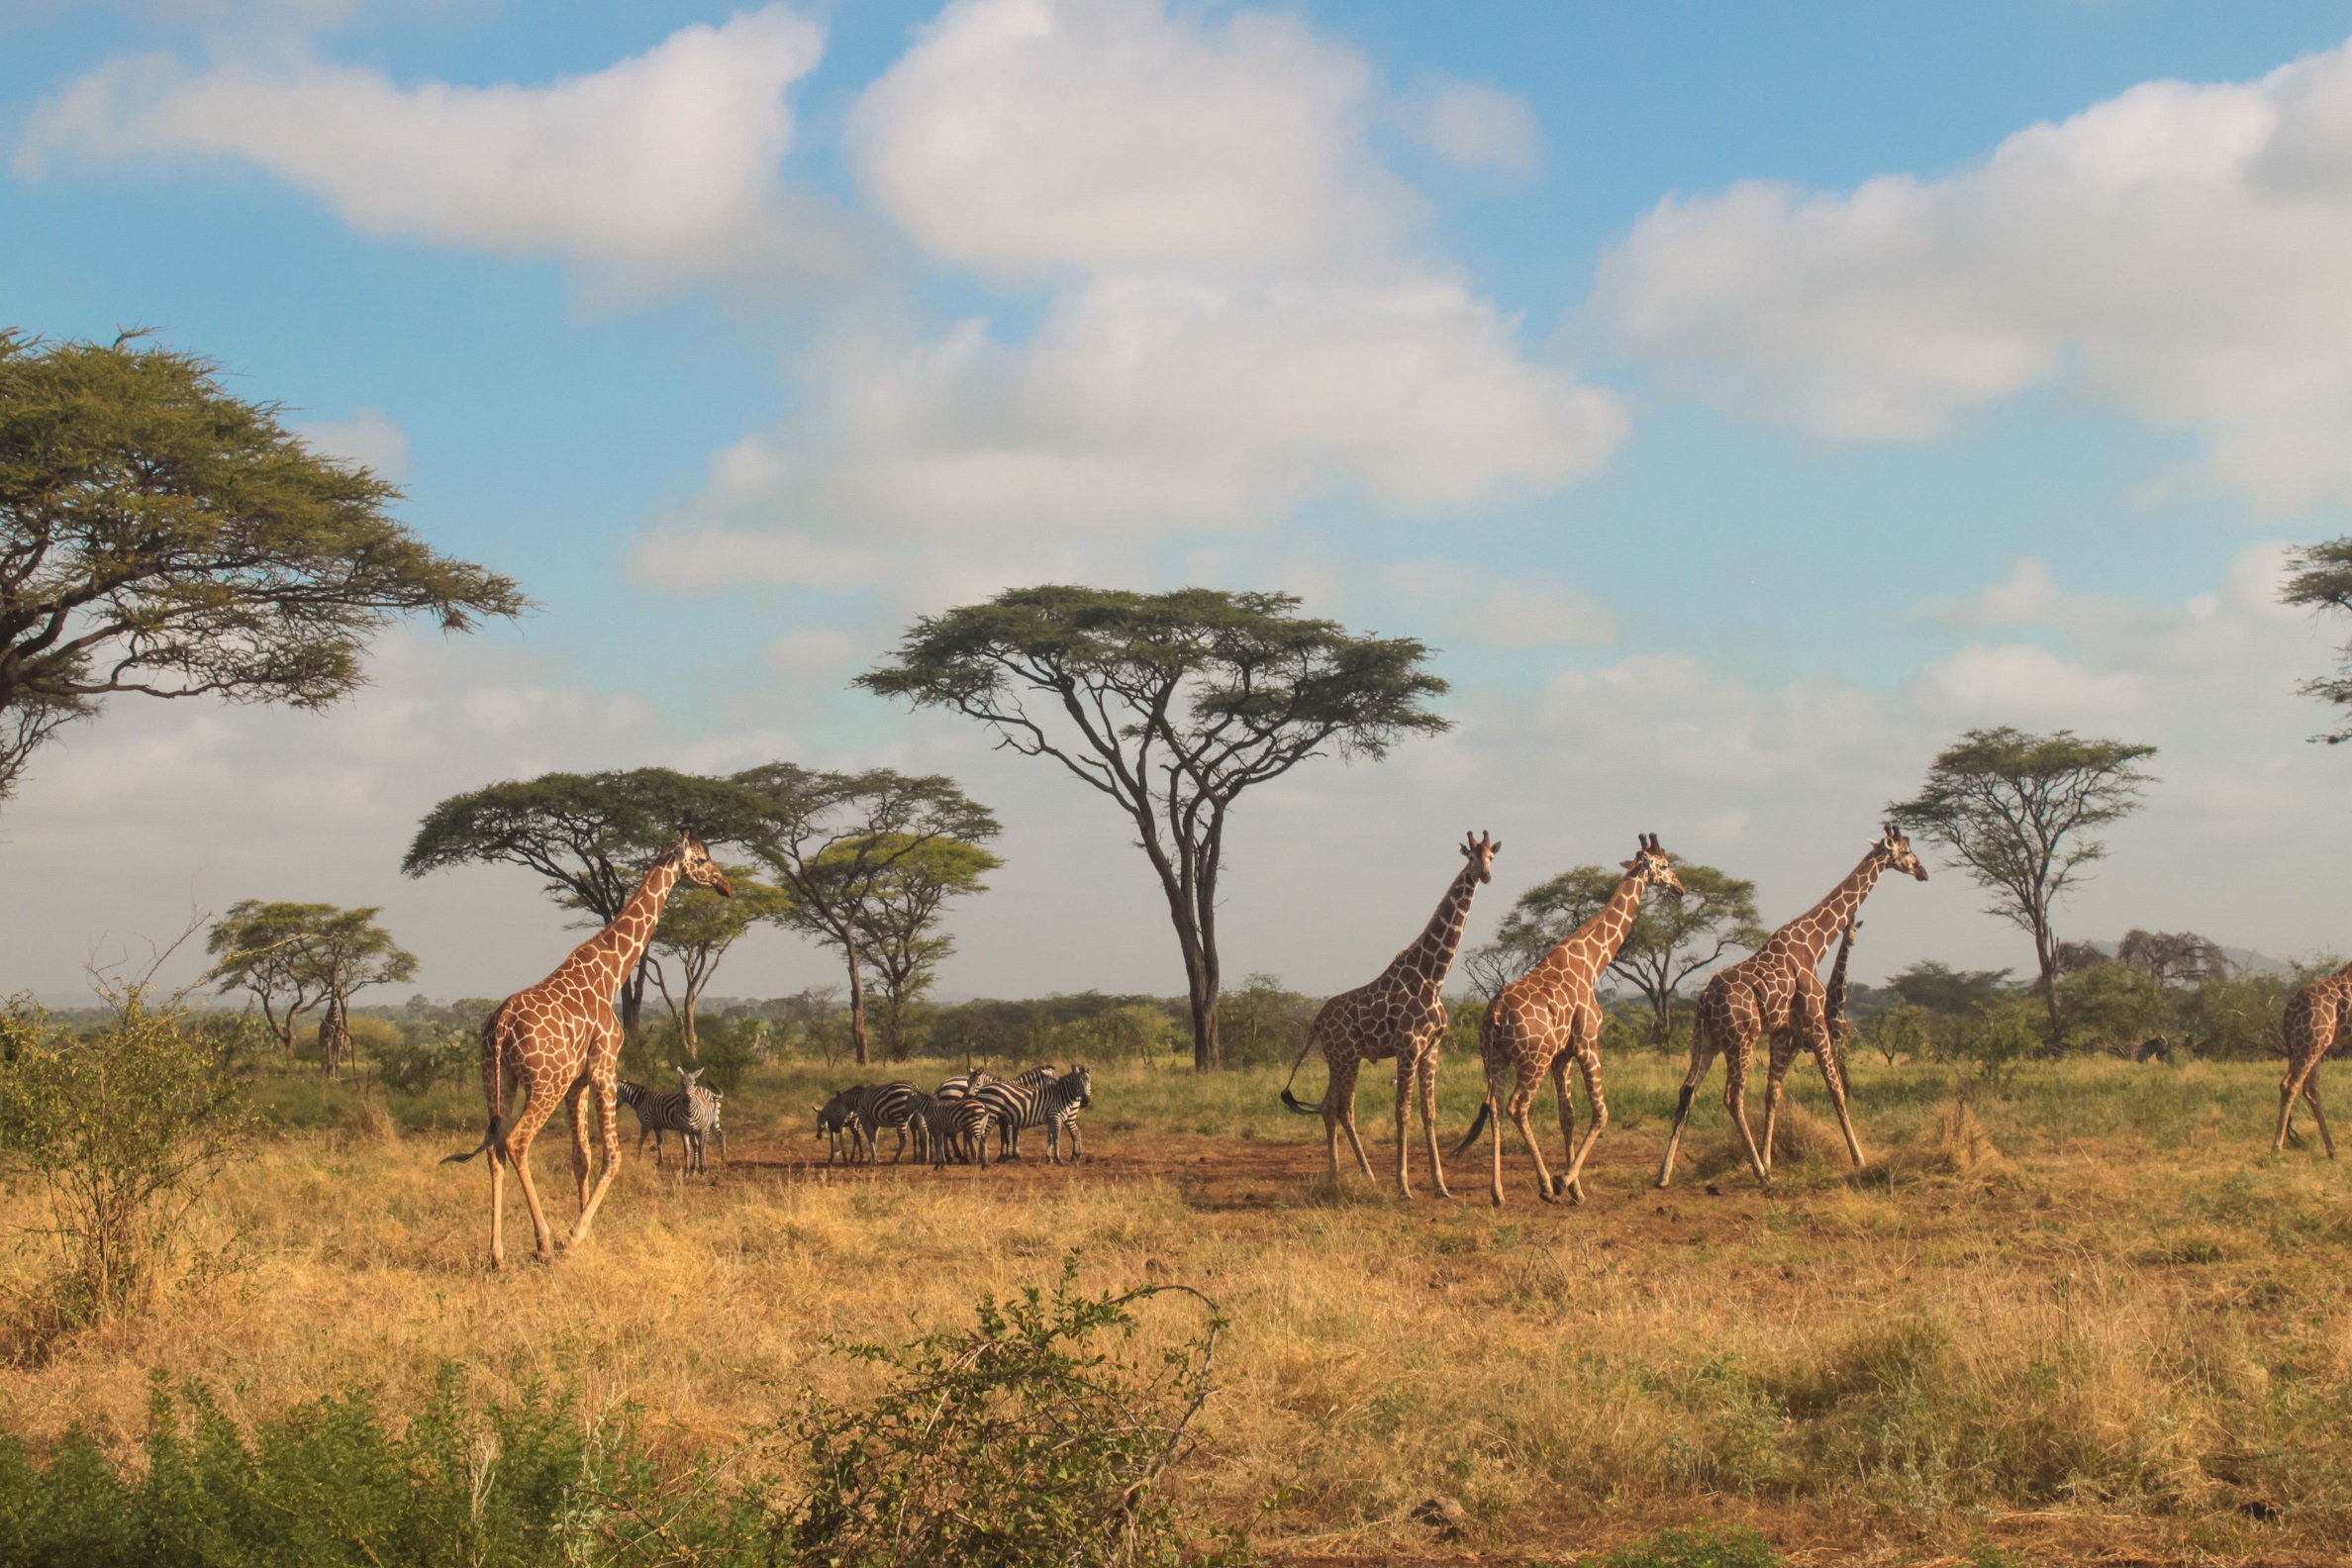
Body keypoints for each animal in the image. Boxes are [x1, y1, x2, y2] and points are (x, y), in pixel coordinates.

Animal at [444, 828, 733, 1267]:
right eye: (701, 860)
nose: (726, 886)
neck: (611, 971)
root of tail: (501, 1026)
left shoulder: (577, 1083)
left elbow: (581, 1157)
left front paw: (584, 1231)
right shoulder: (604, 1067)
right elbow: (613, 1155)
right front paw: (574, 1236)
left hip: (496, 1079)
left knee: (495, 1148)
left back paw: (497, 1253)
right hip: (544, 1082)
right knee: (517, 1142)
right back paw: (544, 1241)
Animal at [1279, 831, 1499, 1199]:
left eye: (1491, 858)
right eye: (1470, 857)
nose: (1485, 875)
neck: (1434, 977)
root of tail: (1318, 1022)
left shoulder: (1431, 1049)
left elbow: (1429, 1113)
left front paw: (1441, 1185)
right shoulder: (1408, 1047)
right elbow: (1403, 1112)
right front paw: (1404, 1185)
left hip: (1339, 1058)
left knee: (1330, 1105)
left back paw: (1346, 1175)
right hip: (1346, 1056)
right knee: (1340, 1107)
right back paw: (1355, 1175)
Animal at [1454, 833, 1684, 1207]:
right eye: (1664, 865)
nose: (1680, 887)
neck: (1592, 960)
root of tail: (1496, 1016)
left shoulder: (1562, 1055)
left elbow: (1568, 1116)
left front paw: (1576, 1189)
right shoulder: (1587, 1043)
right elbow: (1601, 1113)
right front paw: (1566, 1180)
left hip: (1495, 1059)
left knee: (1495, 1108)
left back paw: (1498, 1192)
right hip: (1534, 1059)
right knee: (1518, 1107)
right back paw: (1546, 1186)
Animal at [1656, 825, 1928, 1190]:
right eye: (1906, 852)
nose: (1923, 872)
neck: (1814, 944)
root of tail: (1705, 1001)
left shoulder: (1782, 1033)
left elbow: (1773, 1094)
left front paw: (1770, 1158)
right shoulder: (1816, 1025)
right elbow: (1836, 1090)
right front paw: (1858, 1158)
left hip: (1705, 1041)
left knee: (1687, 1091)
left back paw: (1664, 1174)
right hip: (1741, 1040)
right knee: (1732, 1097)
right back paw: (1759, 1173)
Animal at [2274, 958, 2352, 1156]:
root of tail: (2287, 1013)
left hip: (2311, 1043)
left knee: (2308, 1089)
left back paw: (2332, 1150)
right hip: (2312, 1041)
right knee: (2292, 1085)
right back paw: (2276, 1147)